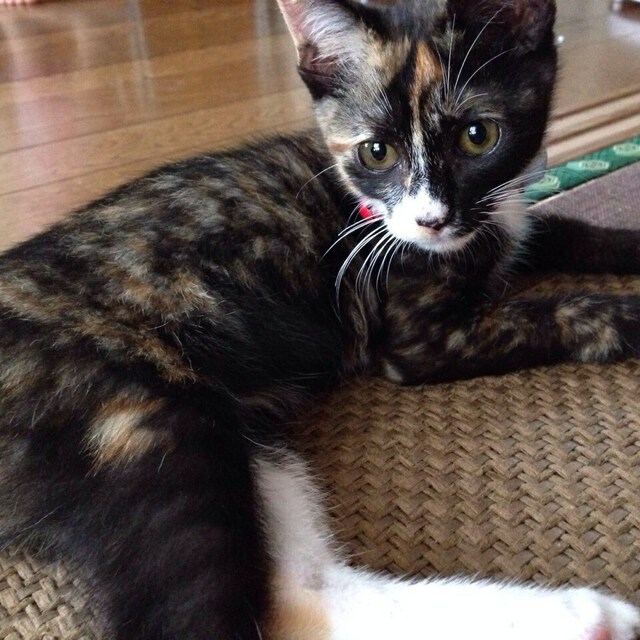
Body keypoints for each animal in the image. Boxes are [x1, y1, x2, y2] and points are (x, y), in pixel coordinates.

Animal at [1, 0, 640, 638]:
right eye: (376, 152)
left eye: (477, 136)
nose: (430, 220)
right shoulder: (421, 335)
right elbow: (561, 308)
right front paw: (627, 312)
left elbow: (561, 231)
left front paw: (622, 241)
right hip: (142, 423)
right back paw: (582, 615)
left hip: (244, 441)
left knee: (304, 592)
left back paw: (583, 617)